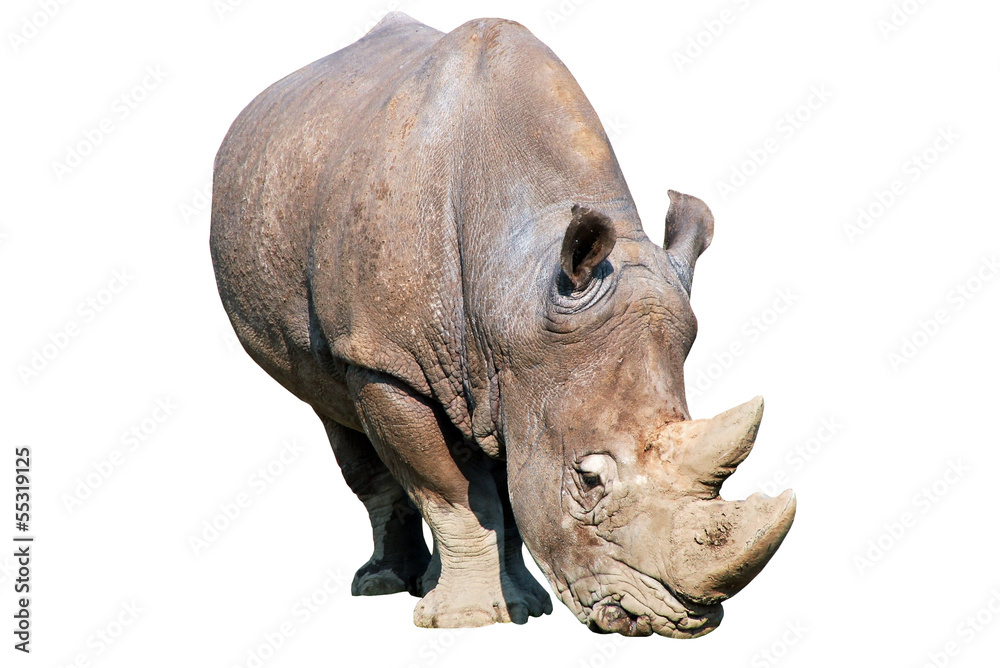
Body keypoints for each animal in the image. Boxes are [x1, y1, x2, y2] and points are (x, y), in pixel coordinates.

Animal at [210, 12, 795, 637]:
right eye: (588, 481)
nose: (682, 620)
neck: (515, 294)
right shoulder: (385, 361)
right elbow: (451, 492)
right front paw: (467, 620)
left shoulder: (523, 376)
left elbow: (510, 494)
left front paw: (523, 608)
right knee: (335, 410)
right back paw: (382, 586)